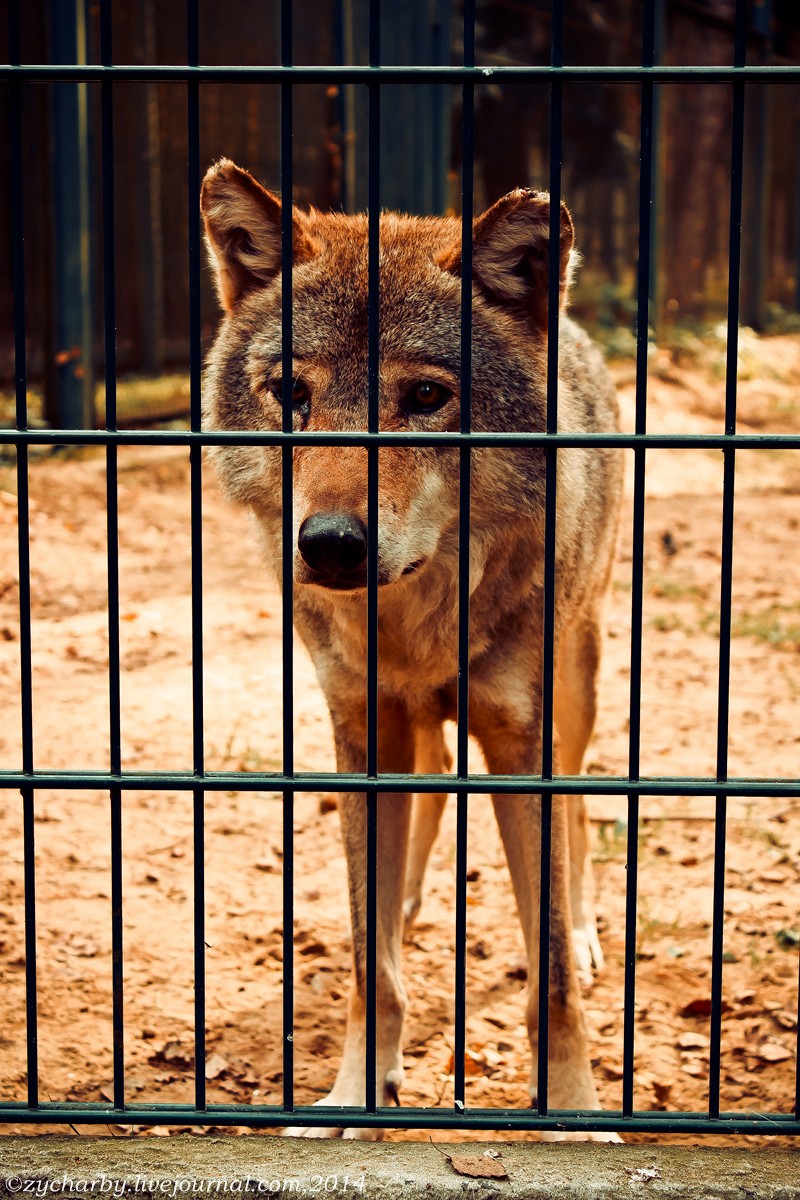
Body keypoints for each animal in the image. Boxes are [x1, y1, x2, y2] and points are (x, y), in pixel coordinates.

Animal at [201, 159, 623, 1139]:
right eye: (292, 395)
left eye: (426, 397)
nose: (329, 545)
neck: (419, 623)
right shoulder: (363, 730)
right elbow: (370, 961)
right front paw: (358, 1091)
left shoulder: (521, 742)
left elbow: (549, 975)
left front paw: (573, 1113)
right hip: (414, 734)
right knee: (425, 807)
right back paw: (413, 903)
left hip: (577, 686)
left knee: (584, 814)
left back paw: (587, 931)